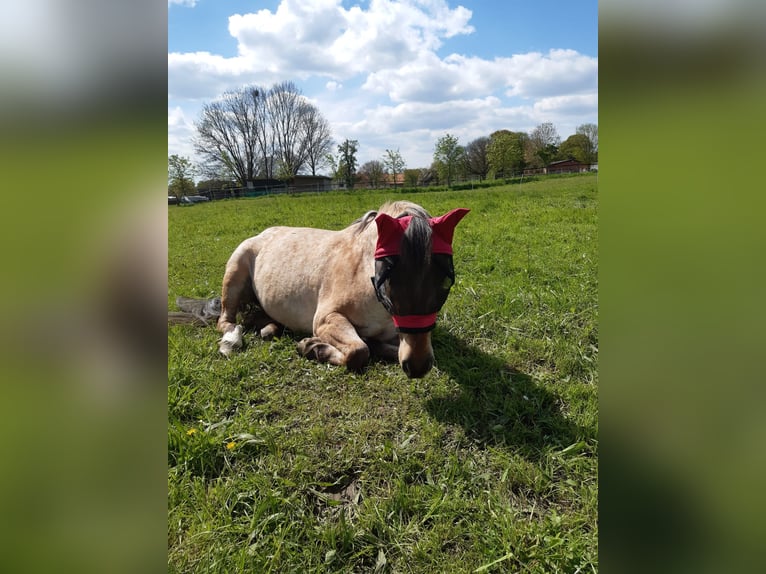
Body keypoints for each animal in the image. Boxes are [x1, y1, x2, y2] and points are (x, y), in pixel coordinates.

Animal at [172, 200, 468, 380]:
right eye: (388, 274)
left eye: (445, 280)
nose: (417, 366)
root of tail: (263, 235)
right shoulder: (327, 319)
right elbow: (359, 352)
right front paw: (313, 348)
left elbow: (380, 346)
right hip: (234, 274)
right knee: (227, 321)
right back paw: (233, 340)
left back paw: (270, 329)